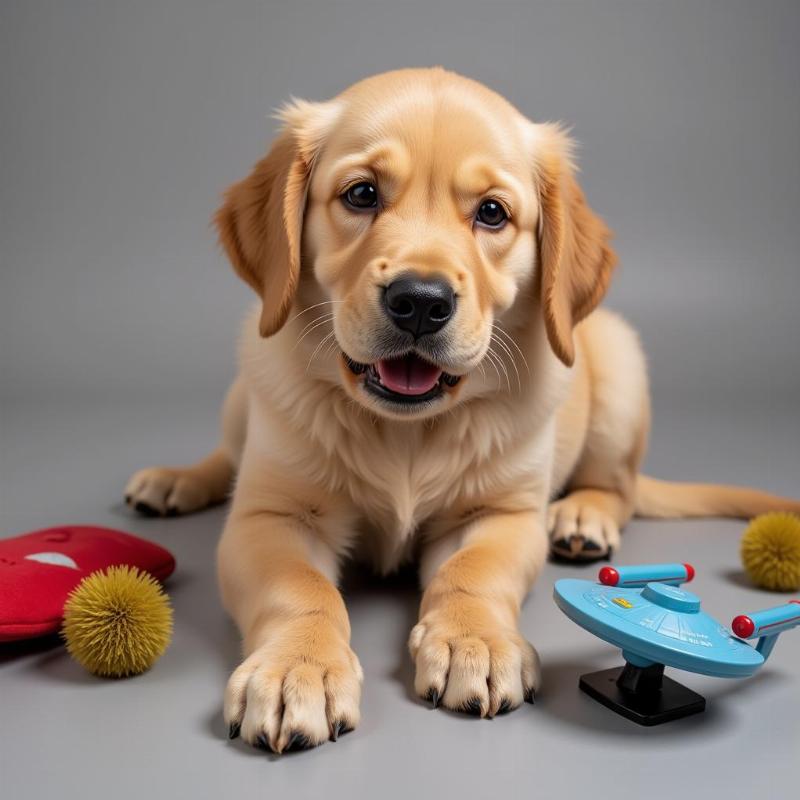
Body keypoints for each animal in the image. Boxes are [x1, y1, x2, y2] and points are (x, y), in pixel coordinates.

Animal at [125, 67, 800, 752]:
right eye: (361, 194)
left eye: (493, 213)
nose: (421, 302)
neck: (405, 430)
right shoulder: (271, 516)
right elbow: (300, 587)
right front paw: (299, 667)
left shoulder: (502, 513)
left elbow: (473, 571)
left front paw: (476, 643)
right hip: (245, 395)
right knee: (227, 454)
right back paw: (176, 480)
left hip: (618, 358)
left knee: (622, 486)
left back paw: (583, 516)